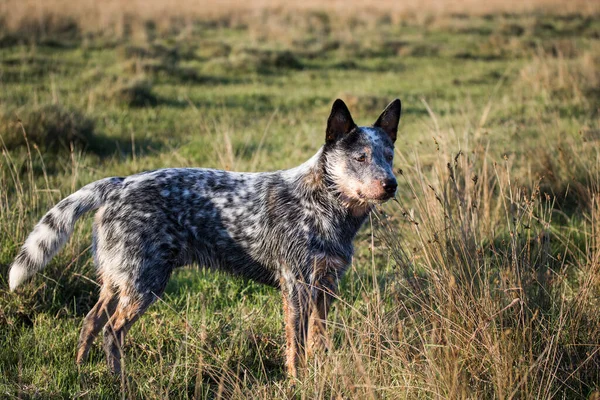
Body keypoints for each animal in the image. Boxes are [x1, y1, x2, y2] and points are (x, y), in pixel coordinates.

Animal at [7, 97, 400, 378]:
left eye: (389, 155)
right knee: (112, 332)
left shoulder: (326, 286)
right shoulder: (297, 286)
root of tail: (118, 184)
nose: (391, 184)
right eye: (360, 157)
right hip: (145, 284)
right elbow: (297, 346)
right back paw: (120, 381)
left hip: (119, 281)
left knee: (91, 322)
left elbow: (320, 339)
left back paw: (81, 369)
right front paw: (298, 382)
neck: (324, 204)